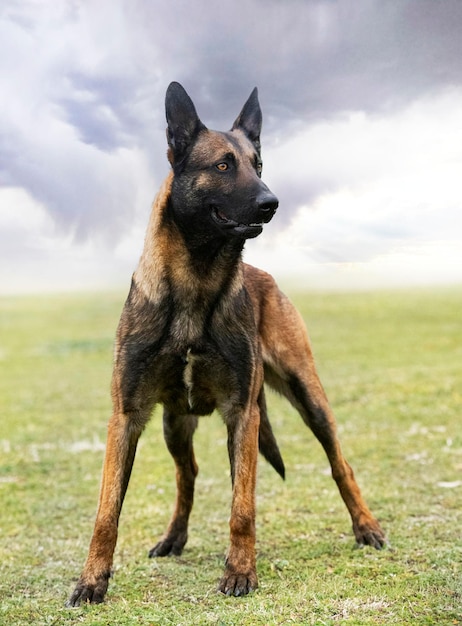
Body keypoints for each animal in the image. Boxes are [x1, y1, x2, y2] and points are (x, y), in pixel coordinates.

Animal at [67, 80, 386, 604]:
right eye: (222, 165)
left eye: (258, 165)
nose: (272, 203)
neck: (196, 281)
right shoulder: (127, 417)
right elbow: (107, 512)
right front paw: (92, 580)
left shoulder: (242, 411)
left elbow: (243, 505)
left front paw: (240, 570)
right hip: (175, 424)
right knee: (188, 476)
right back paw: (174, 537)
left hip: (308, 397)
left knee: (339, 464)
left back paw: (366, 527)